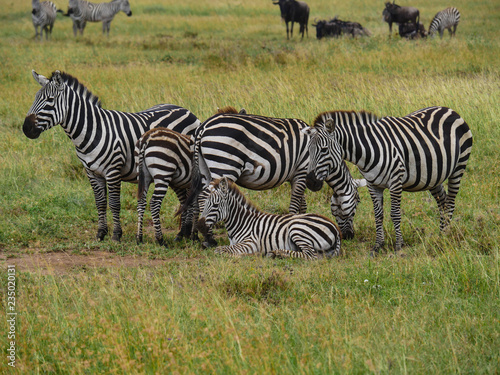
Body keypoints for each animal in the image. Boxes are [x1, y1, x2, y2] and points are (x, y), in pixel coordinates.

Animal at [23, 70, 199, 244]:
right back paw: (182, 233)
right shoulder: (91, 172)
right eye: (35, 98)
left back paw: (188, 233)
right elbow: (100, 203)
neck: (93, 130)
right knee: (184, 197)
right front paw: (101, 233)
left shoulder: (113, 170)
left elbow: (114, 203)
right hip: (174, 171)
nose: (26, 128)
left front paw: (116, 235)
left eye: (50, 100)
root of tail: (186, 110)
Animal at [182, 110, 366, 248]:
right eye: (358, 202)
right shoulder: (302, 171)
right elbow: (295, 205)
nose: (349, 236)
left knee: (200, 197)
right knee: (209, 196)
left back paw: (198, 236)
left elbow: (302, 205)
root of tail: (203, 127)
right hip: (224, 165)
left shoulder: (296, 176)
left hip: (204, 167)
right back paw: (209, 238)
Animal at [197, 178, 342, 260]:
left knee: (311, 255)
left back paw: (277, 253)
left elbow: (220, 250)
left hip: (297, 229)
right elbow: (224, 248)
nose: (200, 226)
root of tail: (334, 227)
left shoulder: (251, 242)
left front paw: (251, 254)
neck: (241, 222)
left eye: (215, 205)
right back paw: (274, 253)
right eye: (203, 204)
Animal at [304, 107, 472, 258]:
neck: (367, 152)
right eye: (309, 151)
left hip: (458, 167)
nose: (310, 182)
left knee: (450, 202)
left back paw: (447, 234)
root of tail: (448, 109)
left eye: (324, 149)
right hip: (433, 176)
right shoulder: (372, 185)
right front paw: (377, 246)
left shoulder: (395, 181)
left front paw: (399, 246)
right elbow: (378, 215)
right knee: (442, 202)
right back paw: (440, 234)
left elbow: (395, 214)